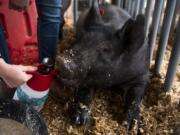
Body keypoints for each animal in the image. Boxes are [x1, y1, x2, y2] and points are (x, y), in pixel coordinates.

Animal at [58, 0, 150, 131]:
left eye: (106, 49)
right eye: (81, 39)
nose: (62, 61)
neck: (114, 83)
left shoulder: (142, 76)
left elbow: (135, 97)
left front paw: (131, 127)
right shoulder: (87, 77)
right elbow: (83, 93)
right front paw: (79, 121)